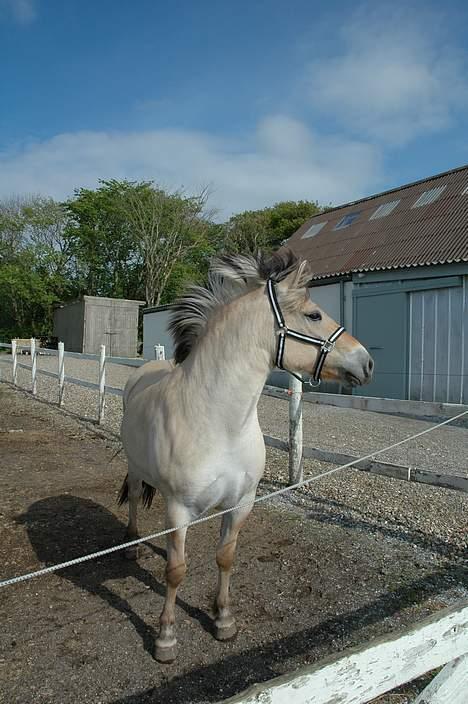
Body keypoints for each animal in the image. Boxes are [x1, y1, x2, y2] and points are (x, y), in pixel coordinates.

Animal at [119, 250, 372, 664]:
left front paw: (223, 619)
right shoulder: (178, 509)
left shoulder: (241, 503)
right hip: (135, 469)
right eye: (314, 315)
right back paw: (132, 544)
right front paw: (166, 638)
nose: (366, 362)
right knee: (136, 500)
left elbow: (225, 558)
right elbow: (176, 572)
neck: (219, 423)